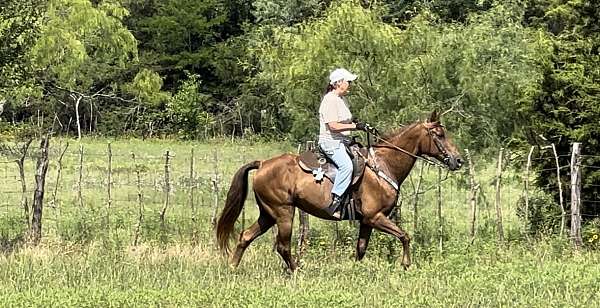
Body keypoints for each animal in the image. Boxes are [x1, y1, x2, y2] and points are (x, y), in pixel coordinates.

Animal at [216, 110, 464, 270]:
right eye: (439, 135)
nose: (458, 160)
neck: (383, 165)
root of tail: (262, 164)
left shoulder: (367, 221)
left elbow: (361, 249)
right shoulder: (376, 217)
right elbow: (405, 236)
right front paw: (406, 264)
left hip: (268, 214)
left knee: (245, 236)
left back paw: (232, 267)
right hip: (284, 212)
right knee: (283, 246)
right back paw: (296, 271)